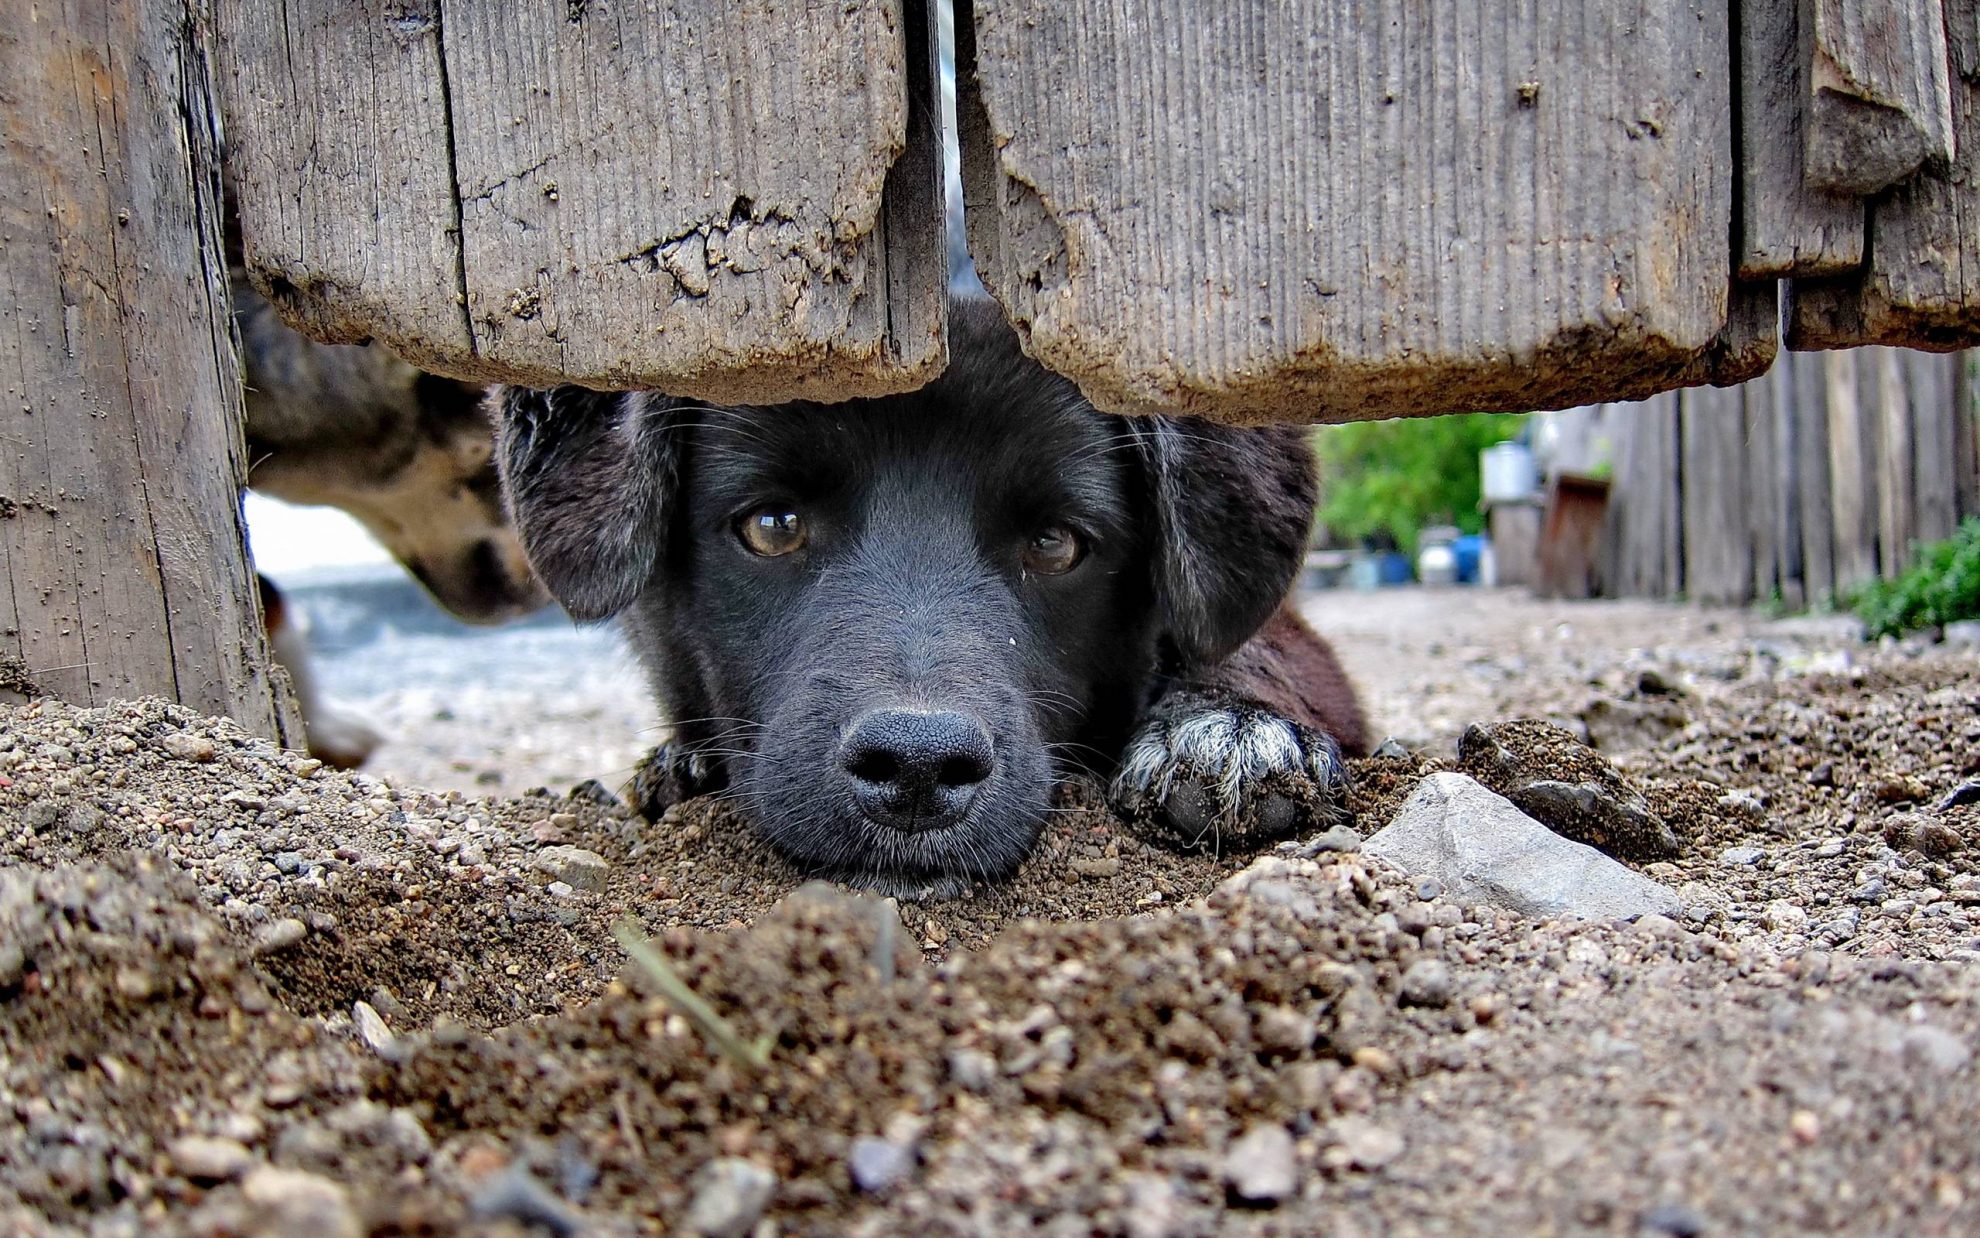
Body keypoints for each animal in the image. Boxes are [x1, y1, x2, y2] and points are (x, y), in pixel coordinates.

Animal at [495, 301, 1370, 899]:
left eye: (1056, 544)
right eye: (772, 526)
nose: (916, 770)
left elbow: (1255, 651)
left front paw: (1226, 729)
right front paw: (685, 762)